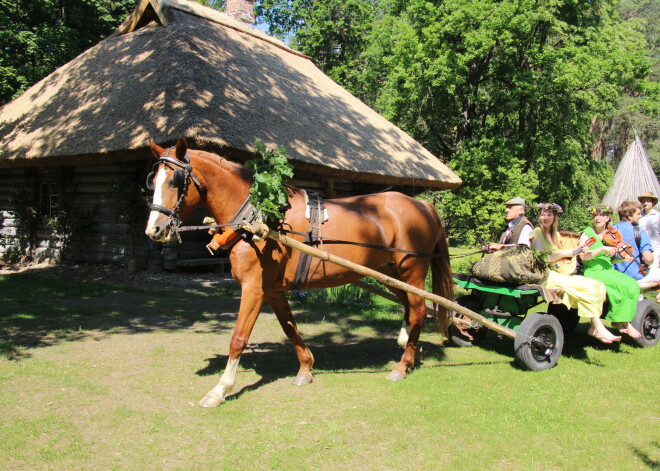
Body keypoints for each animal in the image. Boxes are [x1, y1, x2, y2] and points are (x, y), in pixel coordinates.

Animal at [144, 138, 454, 408]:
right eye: (153, 180)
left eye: (174, 181)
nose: (154, 230)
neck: (256, 220)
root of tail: (422, 204)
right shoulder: (272, 290)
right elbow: (289, 327)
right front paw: (305, 368)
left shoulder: (253, 288)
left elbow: (239, 338)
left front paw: (220, 389)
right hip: (389, 273)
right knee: (410, 306)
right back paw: (407, 345)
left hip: (411, 271)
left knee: (418, 309)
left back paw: (403, 365)